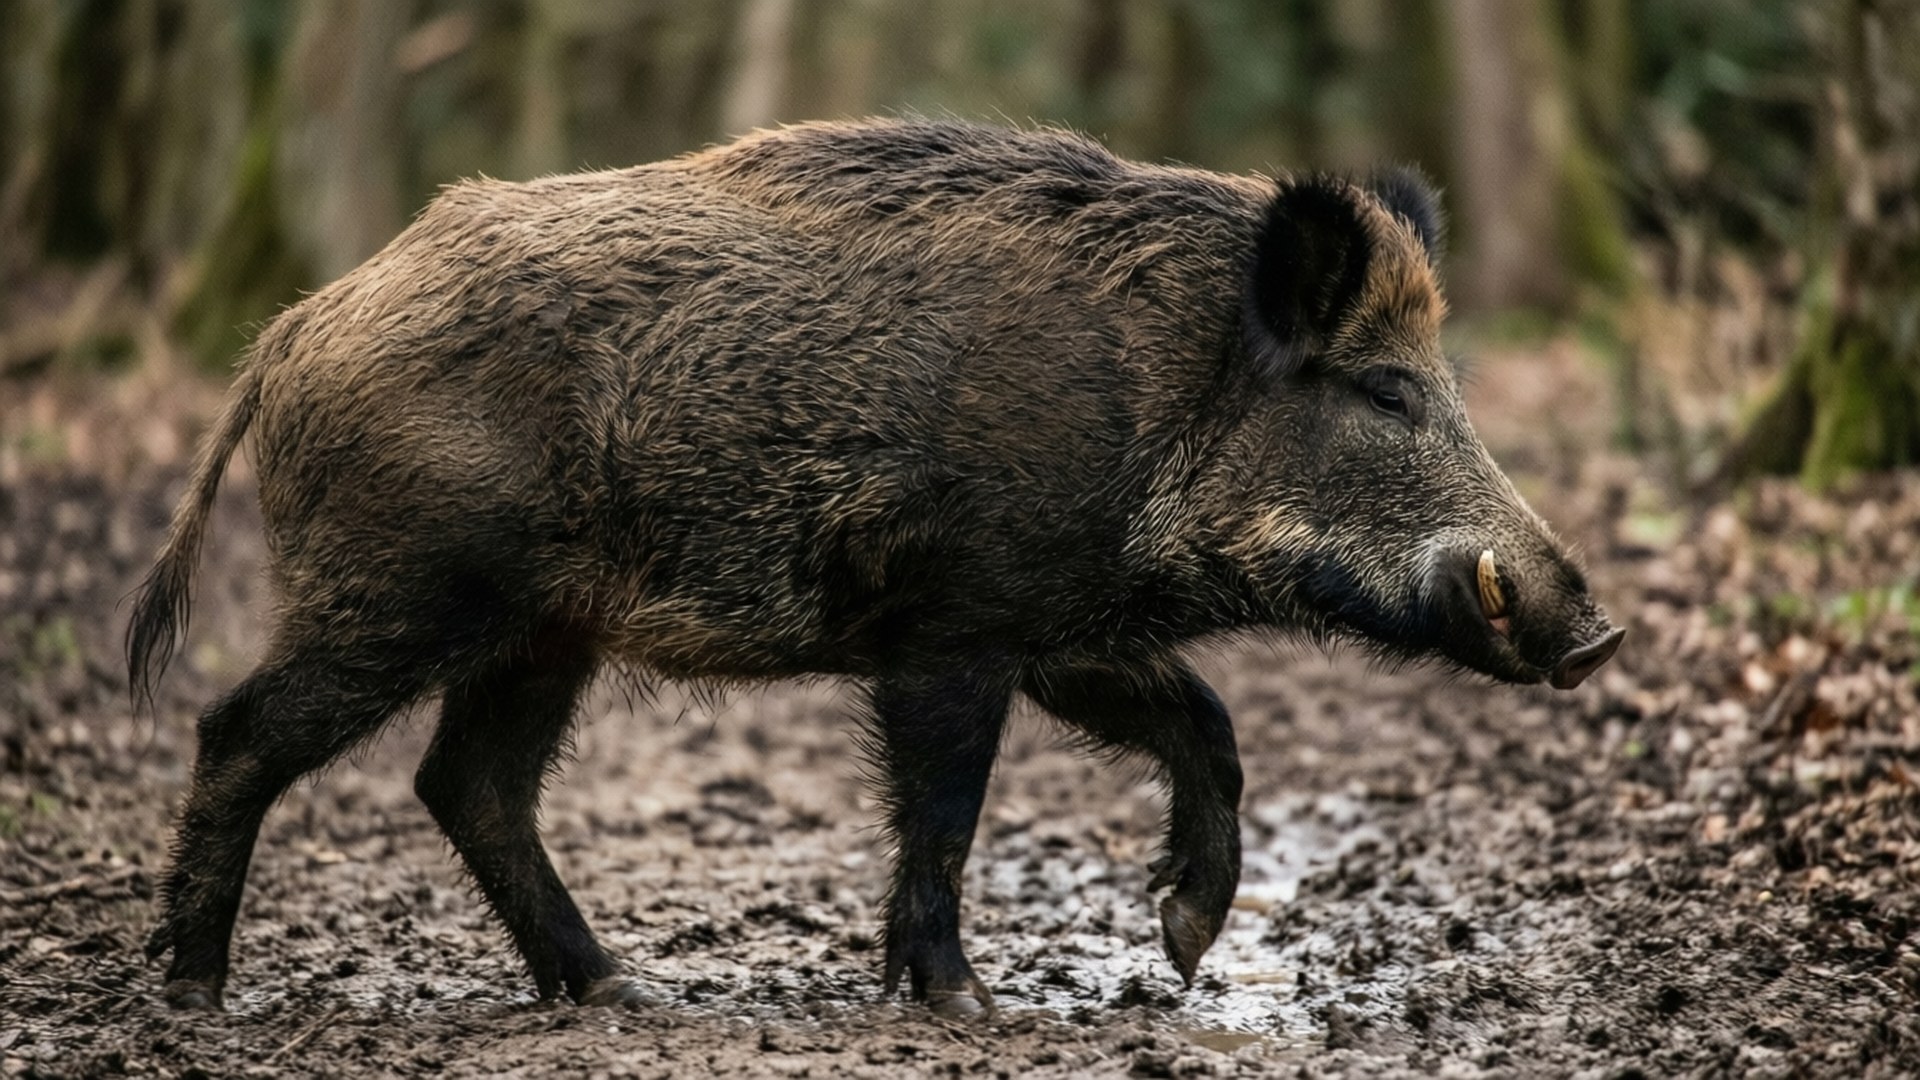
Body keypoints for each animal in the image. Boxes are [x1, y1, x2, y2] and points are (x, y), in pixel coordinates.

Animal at [128, 118, 1622, 1015]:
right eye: (1385, 390)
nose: (1595, 634)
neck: (1164, 396)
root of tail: (292, 331)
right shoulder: (955, 625)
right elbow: (949, 807)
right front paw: (969, 1003)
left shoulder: (1061, 626)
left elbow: (1204, 720)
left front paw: (1185, 944)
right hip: (401, 589)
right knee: (242, 730)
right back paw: (196, 992)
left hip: (544, 629)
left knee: (470, 782)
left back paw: (621, 994)